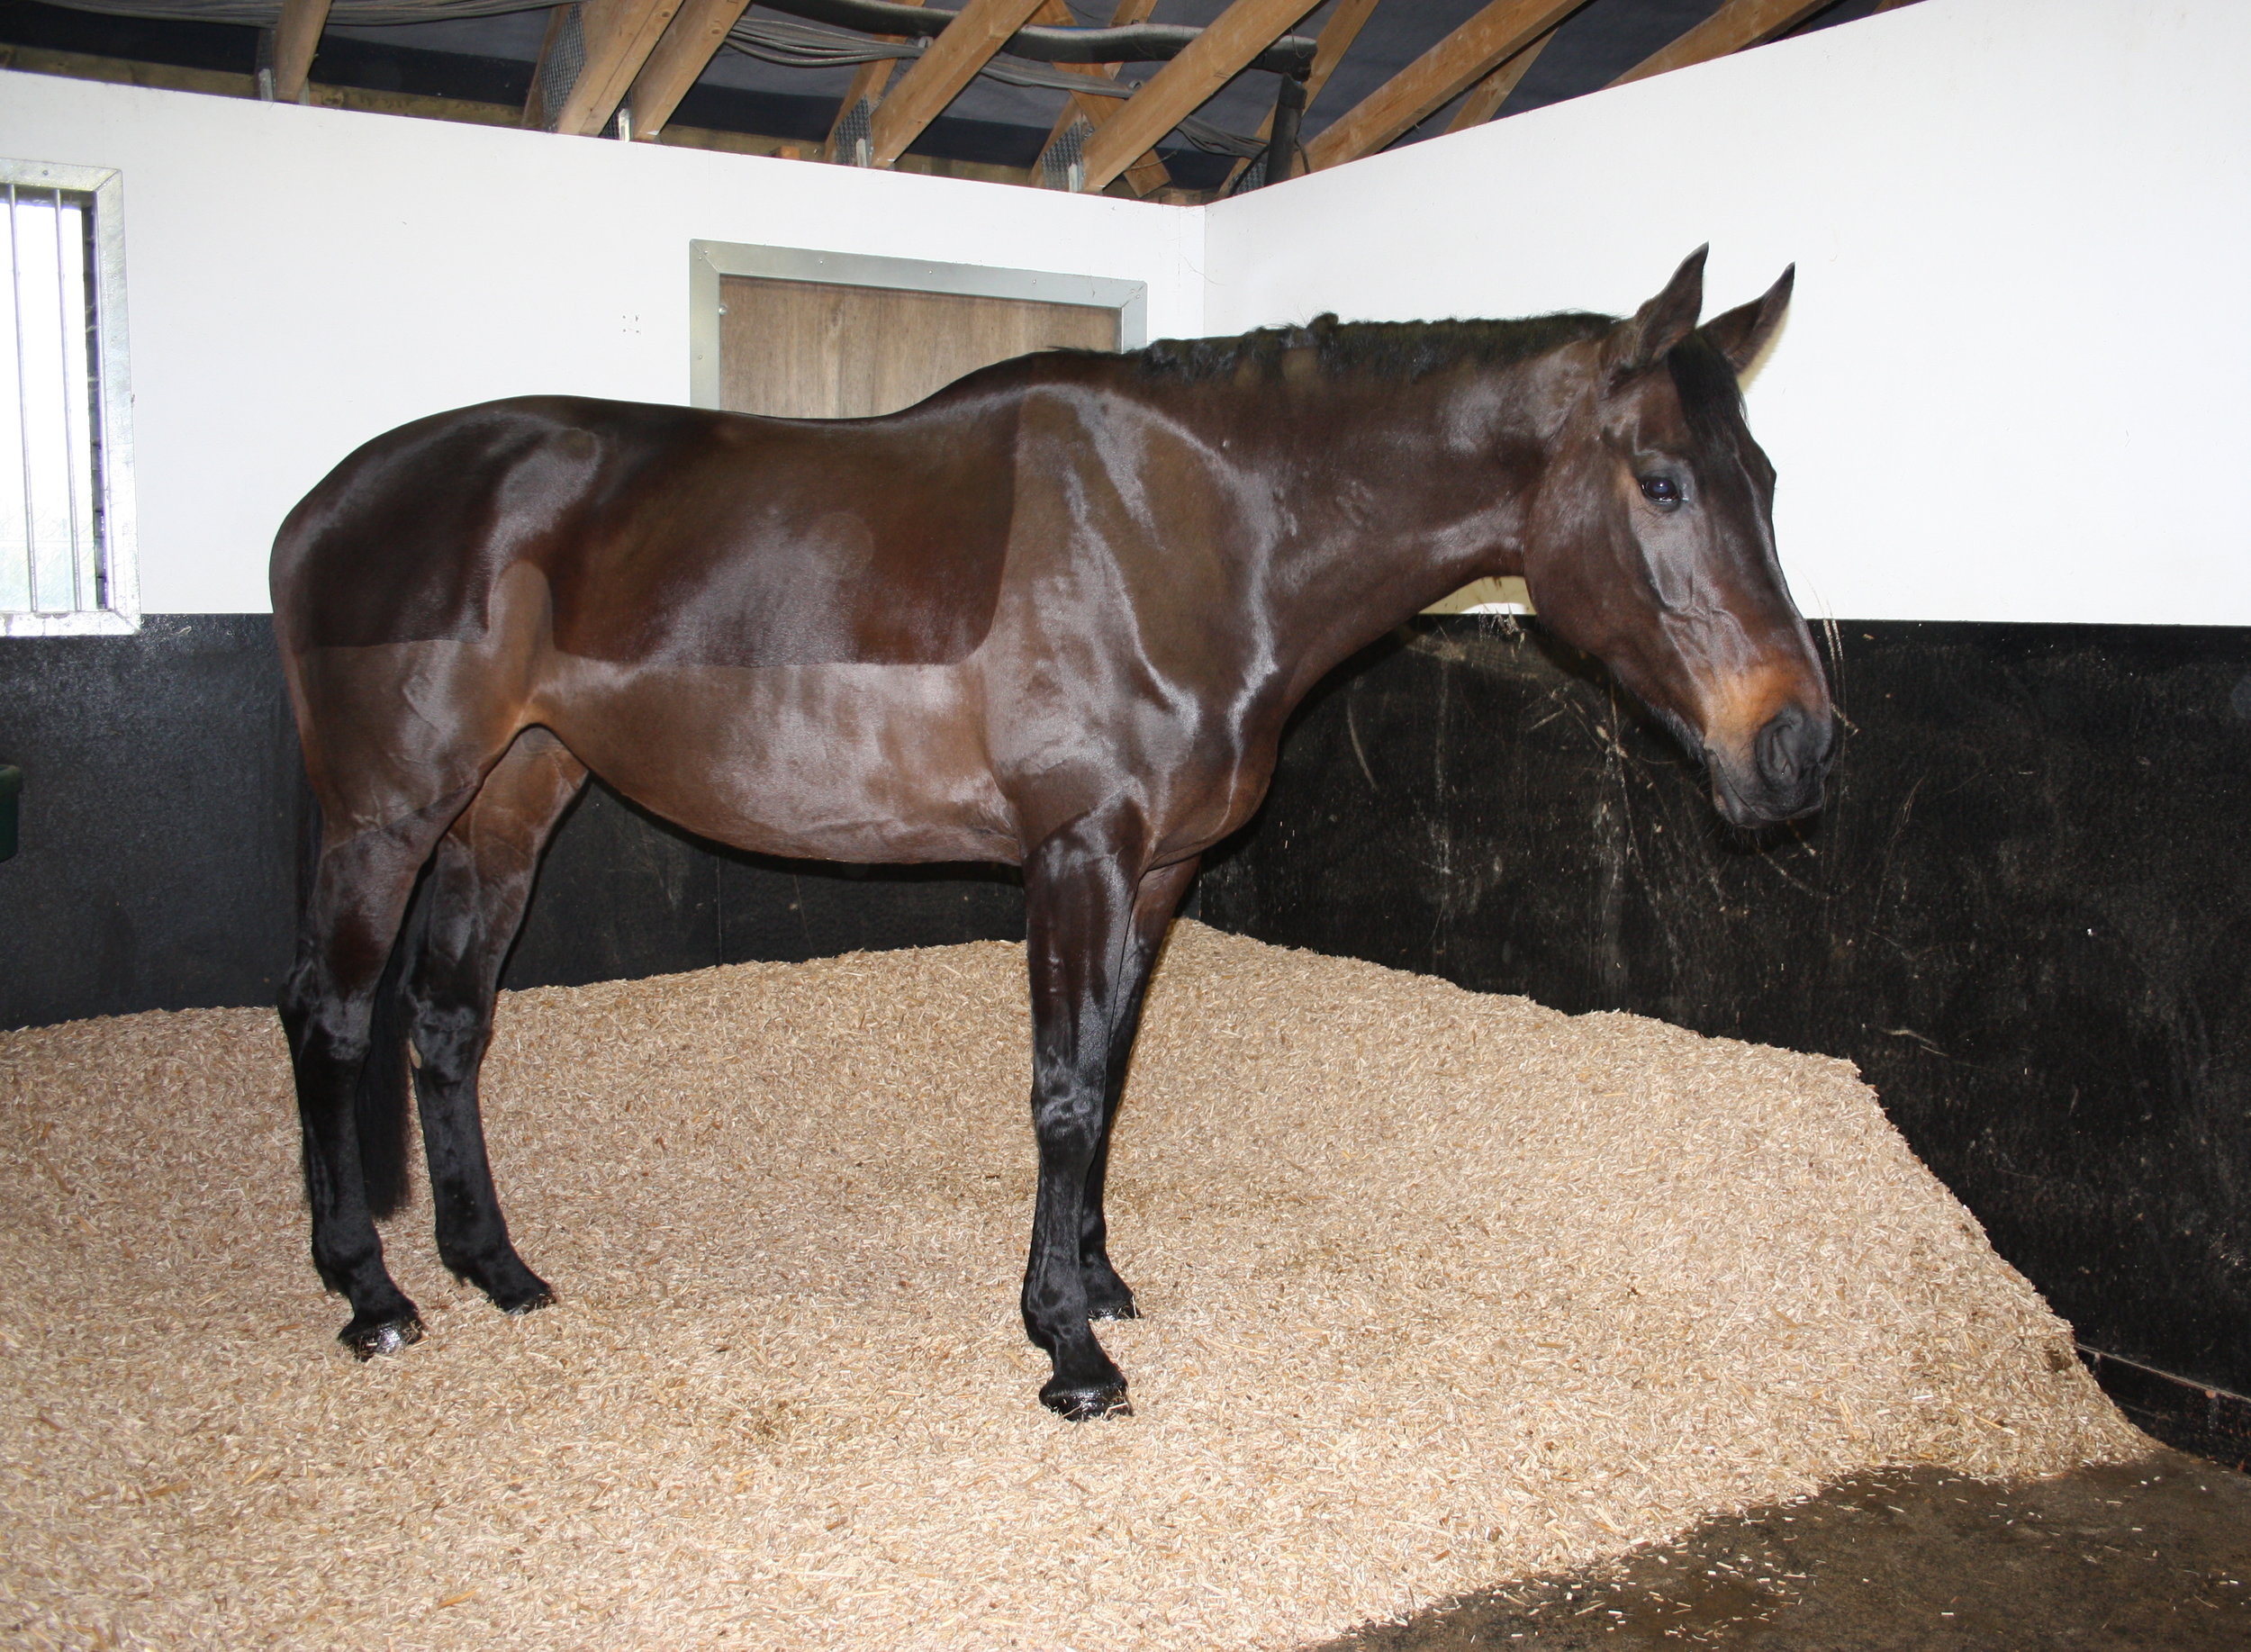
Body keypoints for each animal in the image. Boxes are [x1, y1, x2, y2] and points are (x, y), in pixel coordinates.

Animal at [272, 245, 1837, 1422]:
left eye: (1766, 477)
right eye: (1661, 480)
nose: (1799, 745)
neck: (1199, 534)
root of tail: (324, 506)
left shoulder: (1161, 870)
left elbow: (1113, 1071)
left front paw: (1097, 1280)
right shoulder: (1077, 854)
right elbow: (1065, 1092)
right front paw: (1067, 1346)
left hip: (513, 796)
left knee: (448, 1020)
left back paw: (493, 1265)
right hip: (390, 813)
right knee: (330, 1012)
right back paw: (370, 1287)